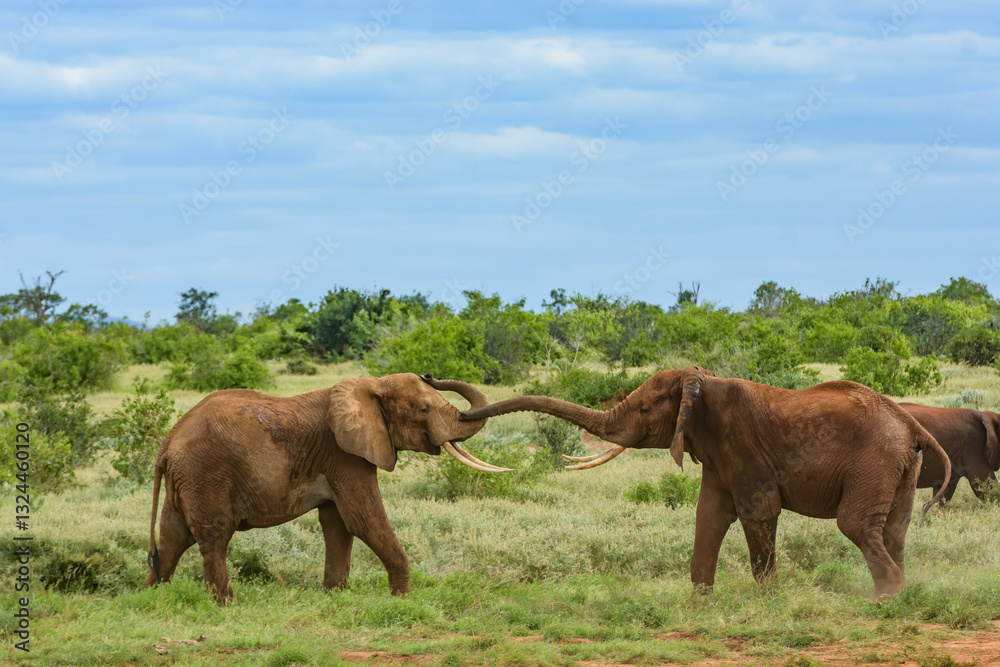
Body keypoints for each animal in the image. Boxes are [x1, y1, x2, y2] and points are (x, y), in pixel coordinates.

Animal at [146, 373, 507, 602]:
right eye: (423, 409)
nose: (429, 373)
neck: (370, 385)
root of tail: (167, 443)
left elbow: (338, 525)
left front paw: (335, 595)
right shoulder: (345, 455)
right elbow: (364, 520)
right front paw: (402, 599)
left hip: (186, 479)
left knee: (171, 537)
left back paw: (152, 596)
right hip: (206, 473)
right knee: (213, 538)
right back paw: (227, 604)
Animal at [460, 367, 951, 600]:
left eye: (643, 410)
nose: (462, 415)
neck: (702, 384)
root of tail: (912, 426)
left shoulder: (743, 447)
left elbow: (757, 512)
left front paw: (767, 602)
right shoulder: (717, 455)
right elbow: (708, 516)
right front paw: (699, 601)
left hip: (875, 461)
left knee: (856, 526)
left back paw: (884, 598)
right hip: (898, 467)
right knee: (894, 530)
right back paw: (898, 589)